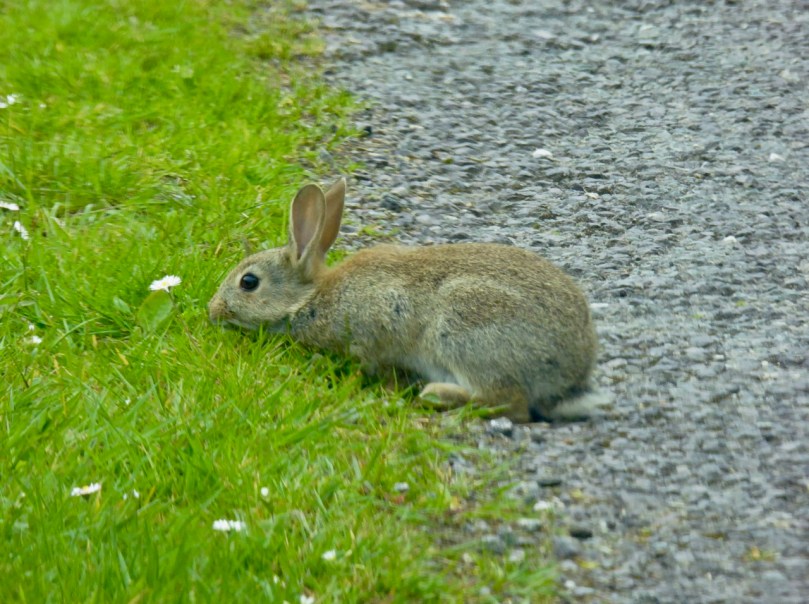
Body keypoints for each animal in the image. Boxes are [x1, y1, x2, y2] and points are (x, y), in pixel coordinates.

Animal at [208, 178, 606, 422]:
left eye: (248, 282)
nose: (212, 311)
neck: (310, 297)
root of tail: (571, 375)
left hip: (465, 332)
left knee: (510, 404)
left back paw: (437, 394)